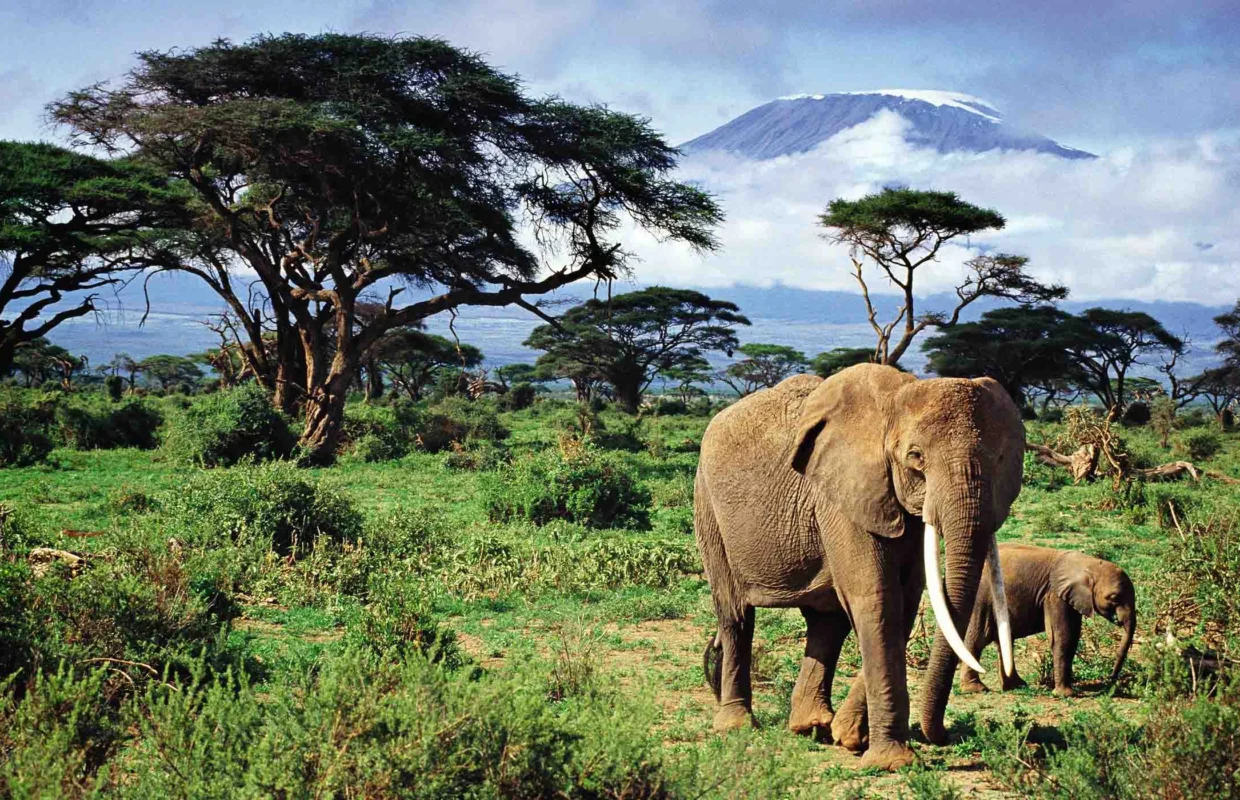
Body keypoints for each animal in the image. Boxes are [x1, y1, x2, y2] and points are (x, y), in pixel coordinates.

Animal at [694, 364, 1024, 771]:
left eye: (1001, 460)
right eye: (915, 457)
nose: (943, 736)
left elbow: (905, 599)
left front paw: (850, 737)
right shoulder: (842, 493)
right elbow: (877, 596)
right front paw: (892, 762)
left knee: (826, 621)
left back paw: (811, 726)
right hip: (708, 505)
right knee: (736, 615)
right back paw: (737, 725)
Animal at [959, 543, 1136, 696]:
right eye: (1114, 598)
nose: (1111, 679)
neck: (1088, 564)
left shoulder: (1069, 597)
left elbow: (1073, 636)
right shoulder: (1054, 595)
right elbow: (1062, 636)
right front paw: (1066, 694)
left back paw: (1016, 686)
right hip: (981, 597)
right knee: (978, 638)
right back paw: (976, 689)